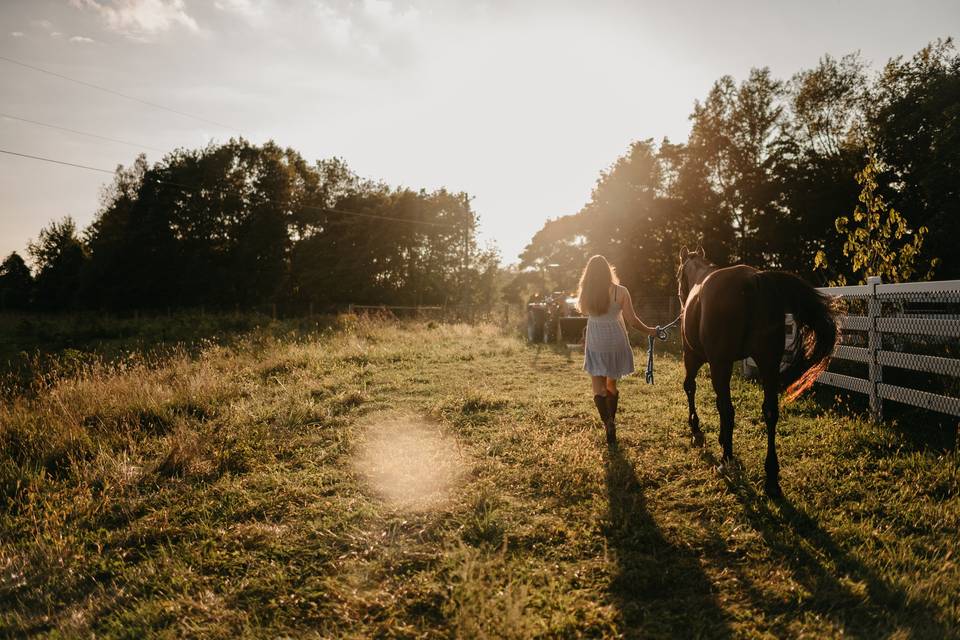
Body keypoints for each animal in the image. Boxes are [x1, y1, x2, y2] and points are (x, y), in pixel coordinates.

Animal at [684, 248, 832, 498]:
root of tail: (754, 279)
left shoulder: (694, 358)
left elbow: (691, 388)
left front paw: (696, 427)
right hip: (768, 363)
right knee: (770, 411)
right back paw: (771, 477)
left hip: (722, 363)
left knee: (728, 408)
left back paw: (727, 457)